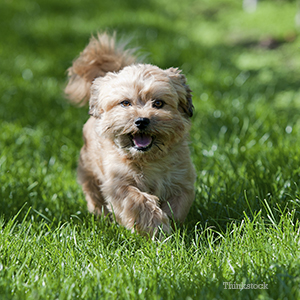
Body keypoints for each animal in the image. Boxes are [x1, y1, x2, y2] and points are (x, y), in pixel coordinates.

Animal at [65, 32, 197, 237]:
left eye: (158, 103)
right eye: (125, 103)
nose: (141, 120)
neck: (149, 160)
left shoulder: (181, 181)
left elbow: (176, 207)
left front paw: (171, 227)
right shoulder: (118, 185)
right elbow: (138, 201)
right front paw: (156, 227)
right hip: (89, 174)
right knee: (94, 197)